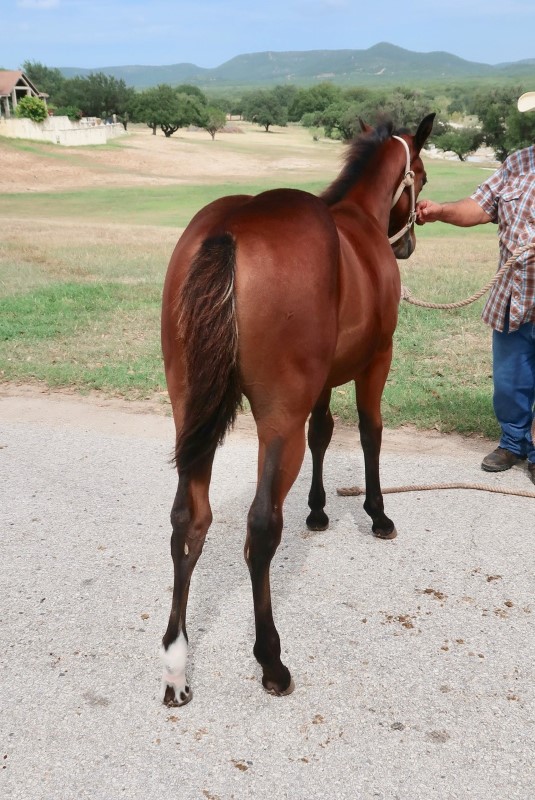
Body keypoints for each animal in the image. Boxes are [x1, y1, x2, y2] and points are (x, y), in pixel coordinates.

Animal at [159, 114, 436, 708]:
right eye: (421, 176)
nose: (408, 243)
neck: (359, 221)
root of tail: (232, 228)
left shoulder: (325, 379)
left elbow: (324, 433)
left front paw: (318, 509)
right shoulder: (376, 360)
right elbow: (371, 432)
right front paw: (376, 513)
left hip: (189, 411)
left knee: (187, 520)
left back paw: (175, 660)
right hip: (278, 418)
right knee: (261, 528)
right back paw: (271, 660)